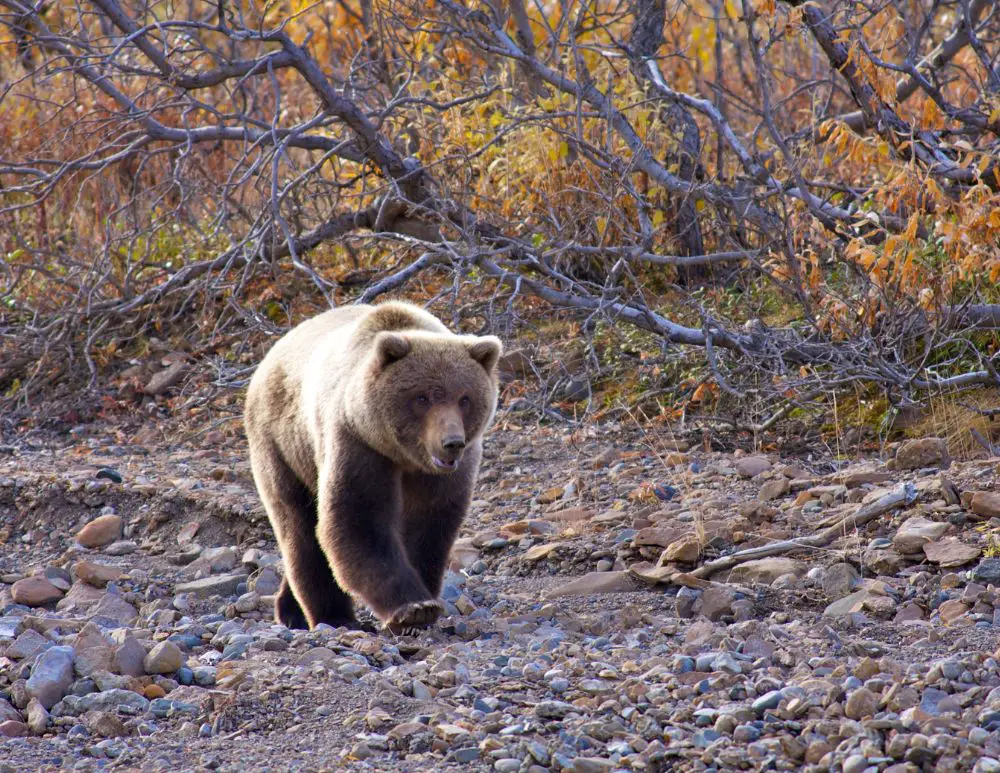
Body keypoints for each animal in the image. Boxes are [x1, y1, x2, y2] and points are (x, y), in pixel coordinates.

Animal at [243, 298, 500, 632]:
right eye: (422, 397)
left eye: (465, 398)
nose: (451, 442)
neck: (404, 456)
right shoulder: (358, 444)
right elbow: (357, 519)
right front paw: (412, 607)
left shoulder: (444, 474)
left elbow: (429, 525)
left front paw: (423, 602)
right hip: (282, 445)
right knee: (299, 526)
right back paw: (329, 615)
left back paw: (291, 609)